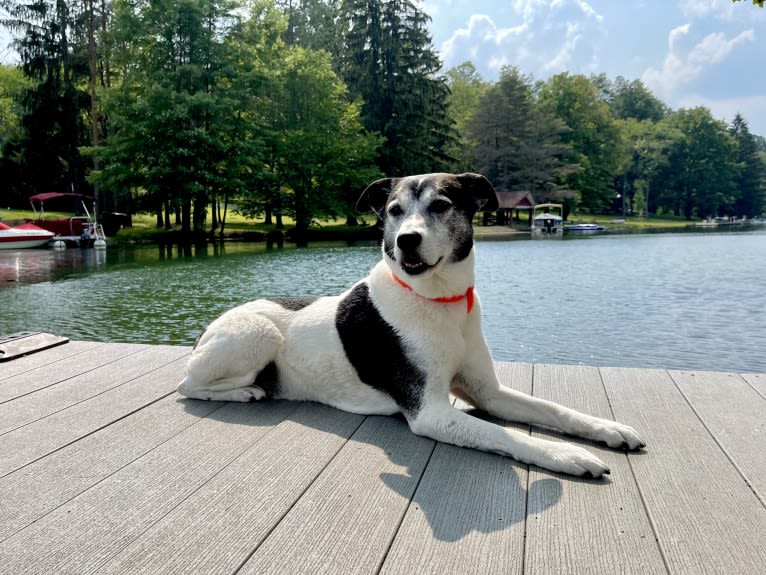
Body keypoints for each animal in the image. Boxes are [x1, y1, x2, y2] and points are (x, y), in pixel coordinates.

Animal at [177, 173, 644, 480]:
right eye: (394, 211)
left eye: (441, 205)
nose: (406, 241)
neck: (438, 300)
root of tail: (205, 328)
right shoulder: (430, 412)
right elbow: (506, 434)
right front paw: (566, 455)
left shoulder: (486, 391)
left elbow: (553, 409)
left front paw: (609, 429)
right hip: (257, 334)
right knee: (187, 385)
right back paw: (245, 391)